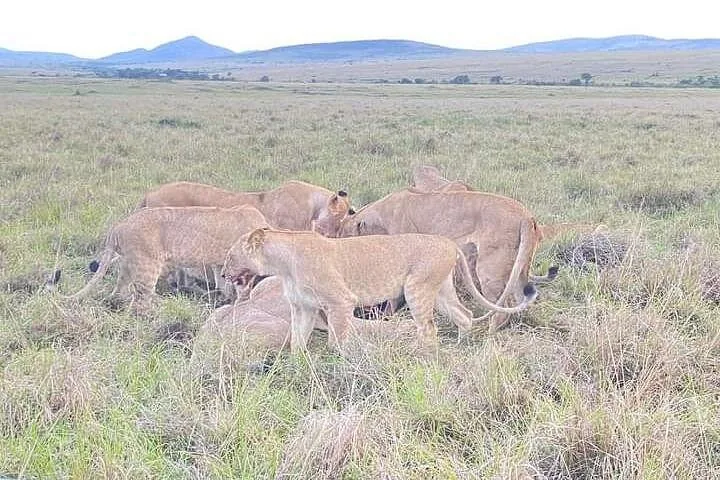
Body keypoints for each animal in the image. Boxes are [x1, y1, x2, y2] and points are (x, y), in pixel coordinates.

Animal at [66, 205, 270, 313]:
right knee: (141, 299)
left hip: (128, 264)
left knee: (119, 291)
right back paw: (162, 309)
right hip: (148, 265)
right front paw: (240, 304)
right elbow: (242, 289)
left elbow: (225, 285)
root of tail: (118, 226)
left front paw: (225, 301)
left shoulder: (220, 264)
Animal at [221, 229, 538, 352]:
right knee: (464, 314)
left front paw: (339, 362)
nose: (223, 274)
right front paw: (298, 366)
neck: (283, 265)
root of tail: (448, 242)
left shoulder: (340, 301)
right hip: (440, 290)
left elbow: (337, 340)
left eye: (231, 255)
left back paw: (420, 354)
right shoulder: (304, 308)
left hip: (417, 288)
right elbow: (297, 341)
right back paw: (462, 346)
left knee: (429, 329)